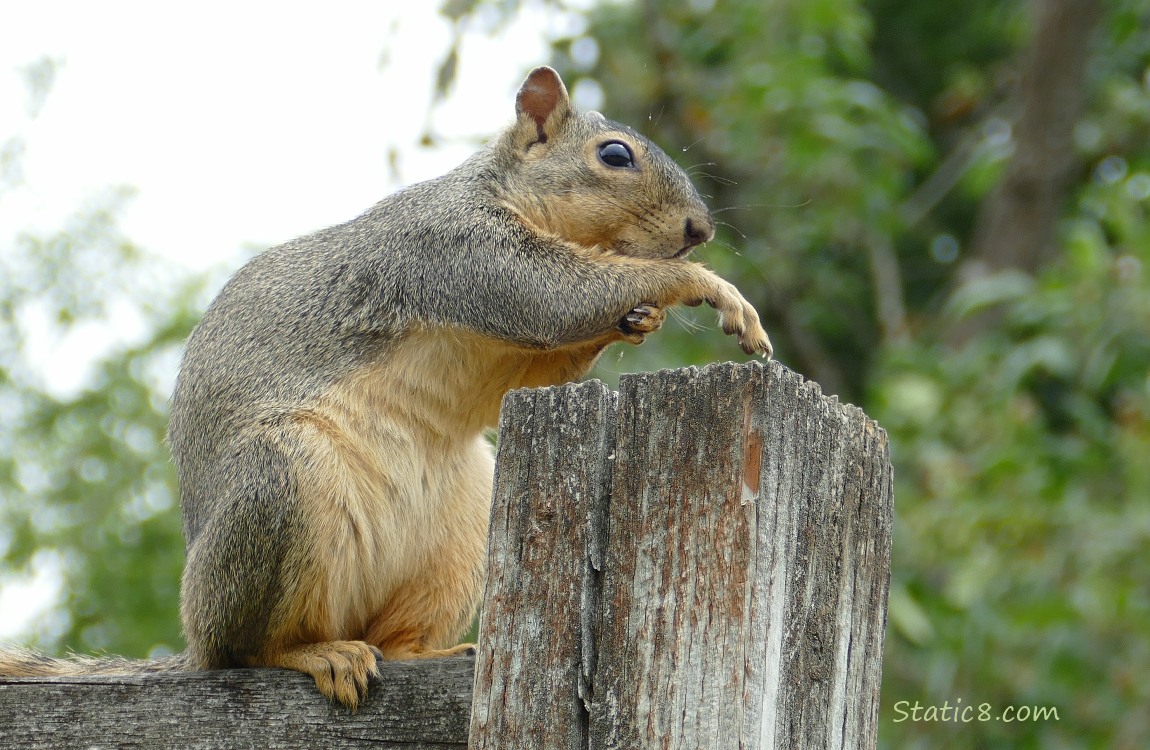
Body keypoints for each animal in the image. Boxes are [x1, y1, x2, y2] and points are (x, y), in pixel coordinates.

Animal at [0, 66, 770, 709]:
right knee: (248, 649)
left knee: (393, 635)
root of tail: (192, 642)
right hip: (280, 482)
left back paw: (429, 653)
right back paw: (317, 653)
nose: (699, 229)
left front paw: (642, 316)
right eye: (614, 155)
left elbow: (540, 359)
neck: (501, 193)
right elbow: (547, 298)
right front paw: (705, 287)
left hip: (459, 528)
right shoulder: (454, 252)